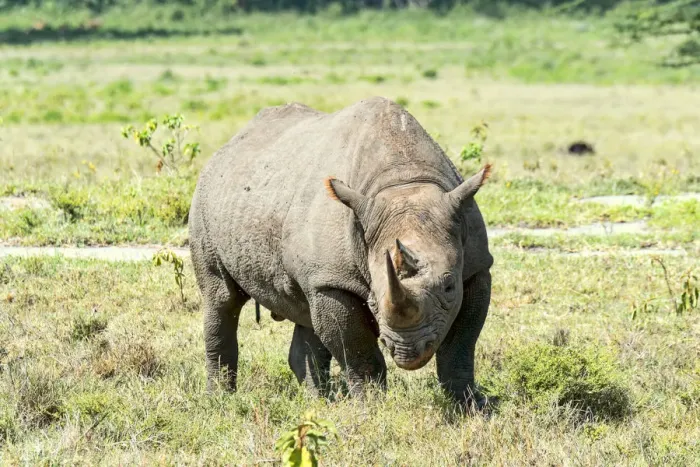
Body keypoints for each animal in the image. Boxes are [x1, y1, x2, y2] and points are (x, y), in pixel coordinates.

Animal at [189, 97, 493, 407]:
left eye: (448, 287)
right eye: (373, 300)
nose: (408, 351)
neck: (404, 181)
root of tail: (227, 146)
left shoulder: (476, 265)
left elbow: (460, 346)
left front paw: (470, 406)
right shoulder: (333, 279)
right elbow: (358, 352)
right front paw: (371, 408)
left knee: (305, 313)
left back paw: (320, 403)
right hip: (204, 201)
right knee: (222, 299)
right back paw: (220, 400)